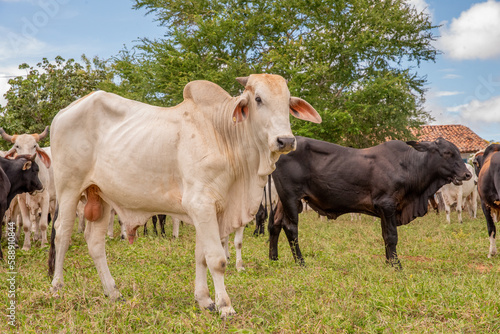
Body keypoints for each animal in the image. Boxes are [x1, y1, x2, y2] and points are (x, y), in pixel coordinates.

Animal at [47, 74, 320, 318]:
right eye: (258, 99)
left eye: (287, 101)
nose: (285, 140)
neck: (223, 135)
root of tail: (63, 112)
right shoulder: (201, 203)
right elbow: (216, 259)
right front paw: (225, 306)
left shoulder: (210, 210)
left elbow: (201, 257)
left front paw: (205, 300)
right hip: (69, 188)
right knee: (62, 233)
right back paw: (57, 288)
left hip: (100, 195)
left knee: (95, 242)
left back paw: (113, 292)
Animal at [268, 136, 470, 268]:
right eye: (447, 153)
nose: (467, 174)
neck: (409, 166)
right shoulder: (387, 204)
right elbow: (392, 236)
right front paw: (396, 265)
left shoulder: (384, 210)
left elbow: (385, 236)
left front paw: (389, 262)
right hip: (291, 197)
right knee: (290, 227)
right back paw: (301, 262)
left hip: (282, 200)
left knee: (274, 224)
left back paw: (273, 258)